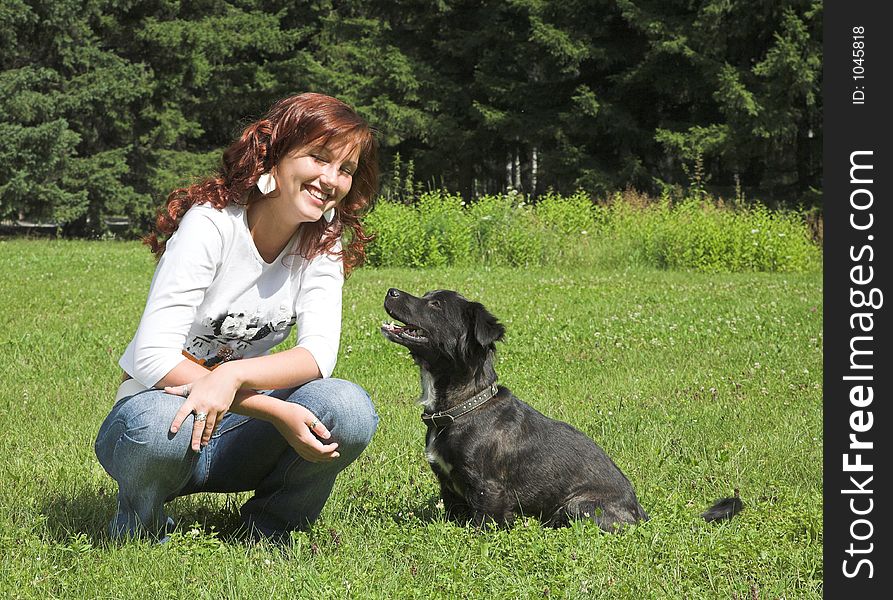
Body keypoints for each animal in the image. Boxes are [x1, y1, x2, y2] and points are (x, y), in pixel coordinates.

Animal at [380, 290, 744, 528]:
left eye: (435, 304)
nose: (391, 291)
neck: (463, 407)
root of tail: (640, 513)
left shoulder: (488, 491)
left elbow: (482, 525)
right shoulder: (449, 489)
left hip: (577, 507)